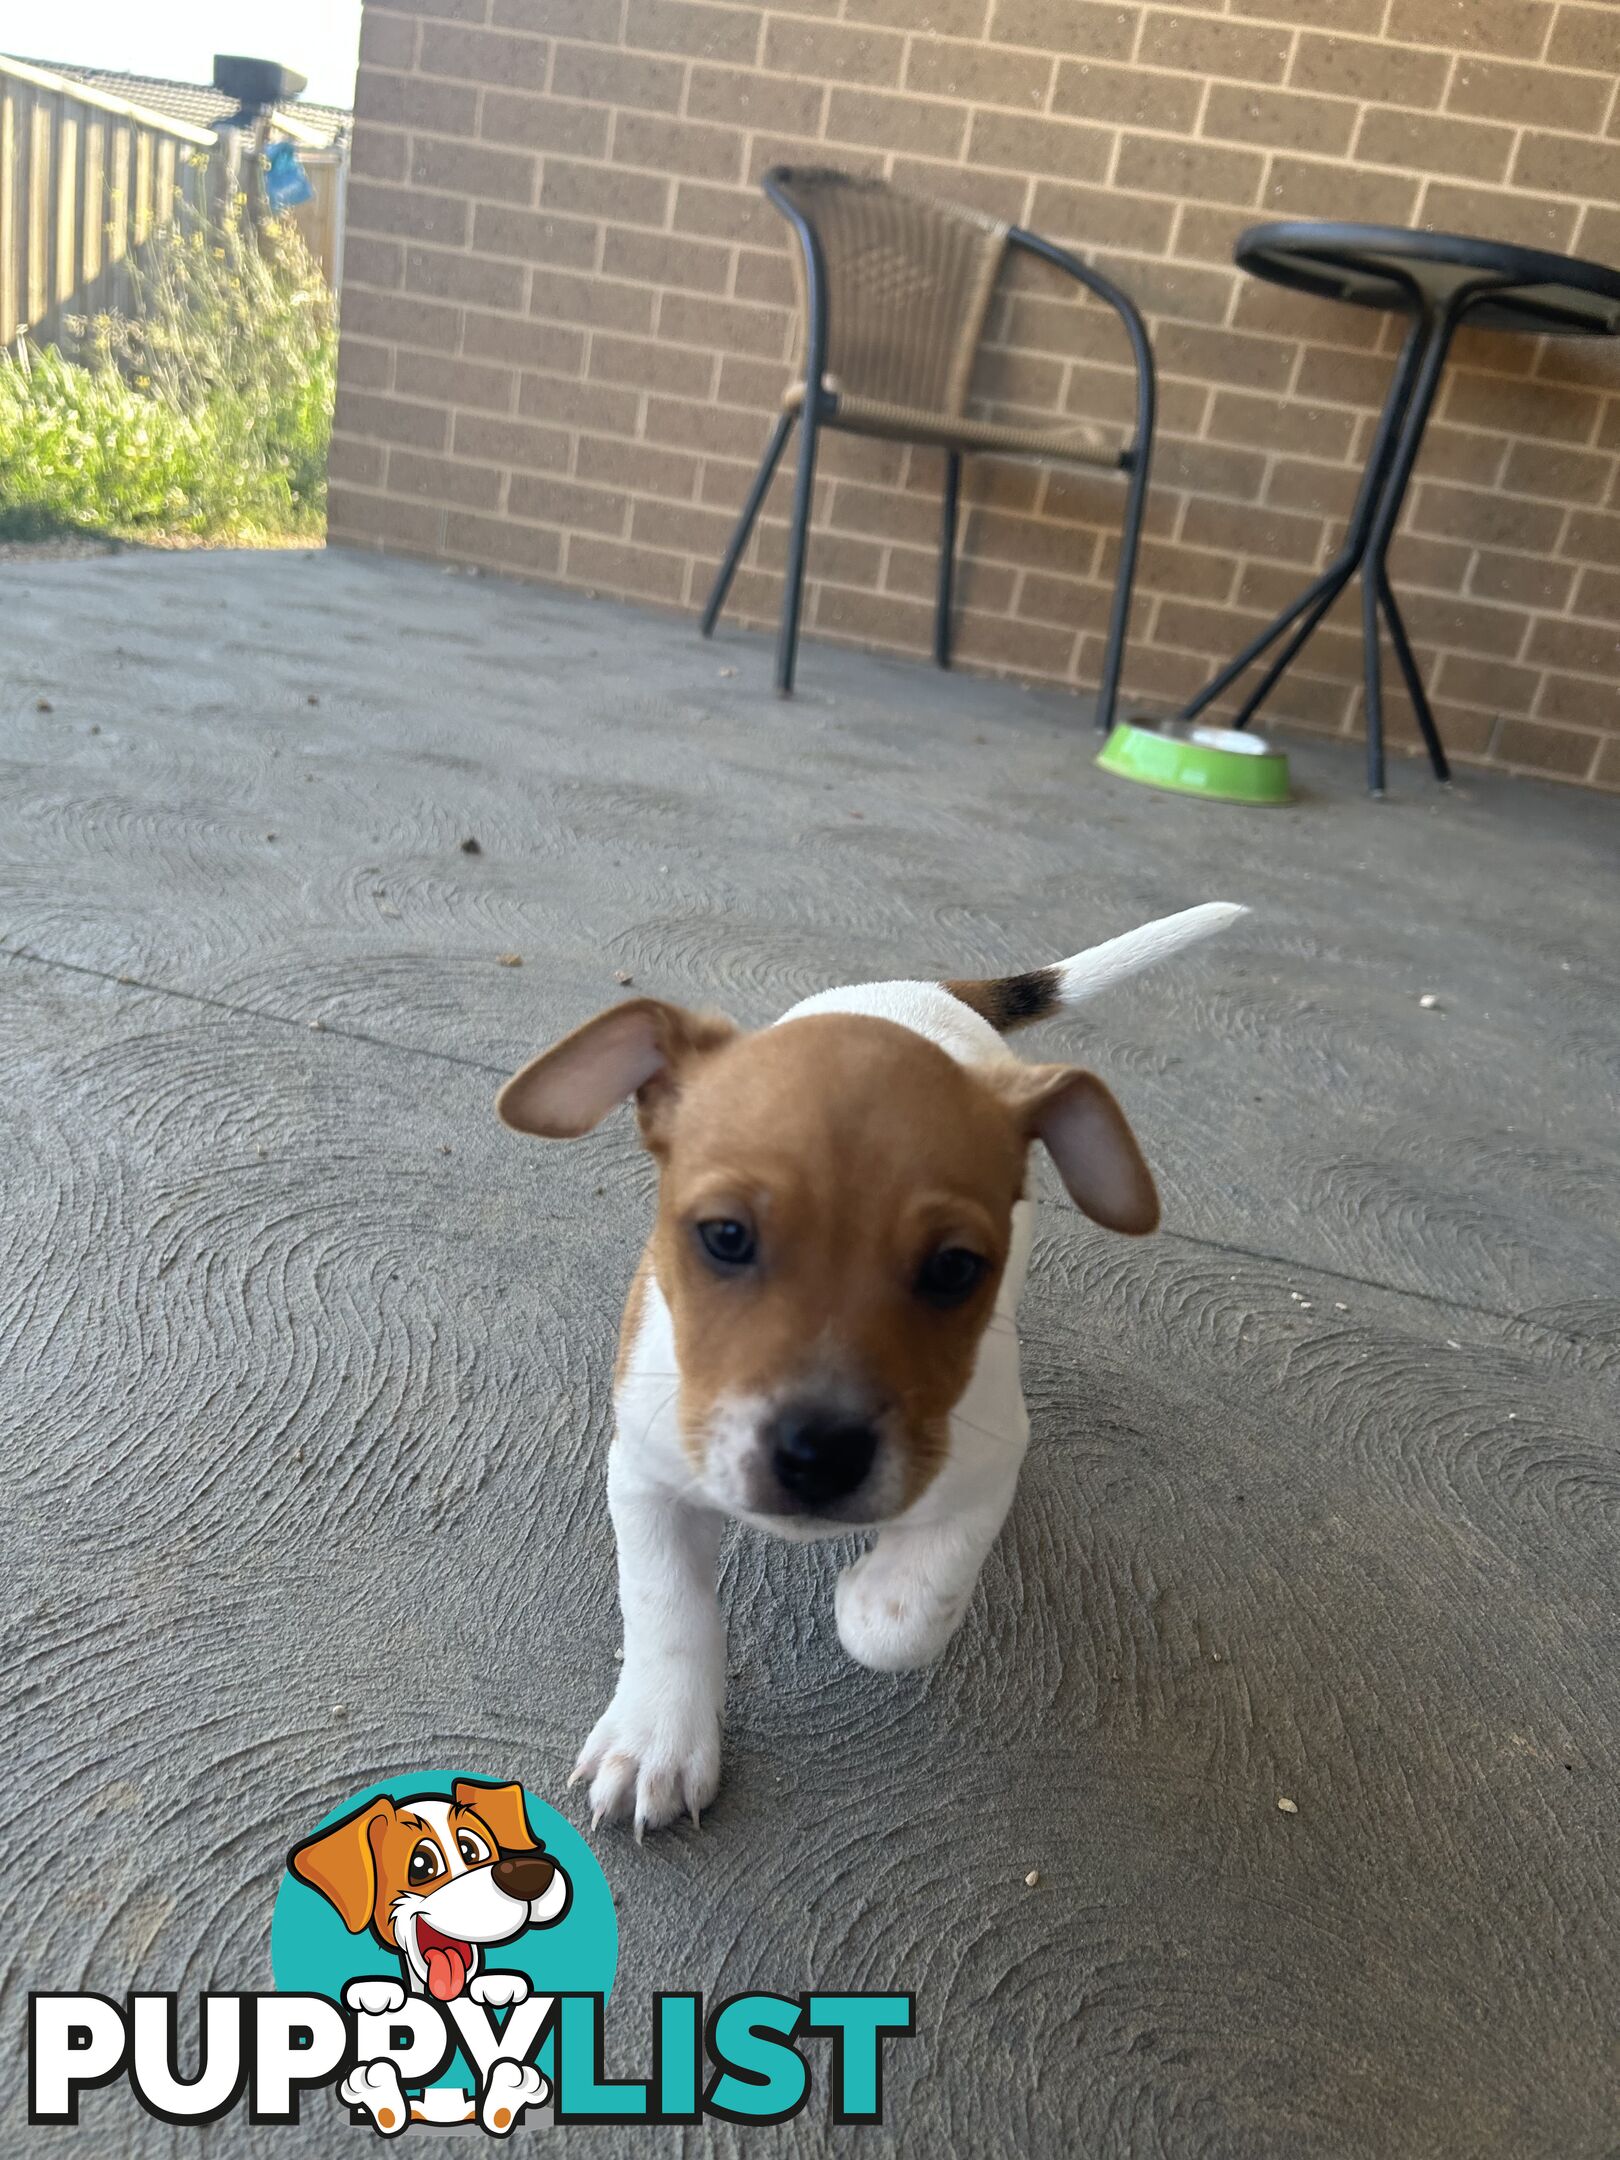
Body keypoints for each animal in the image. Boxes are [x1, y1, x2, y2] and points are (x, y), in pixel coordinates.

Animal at [501, 902, 1252, 1831]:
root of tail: (927, 990)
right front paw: (658, 1740)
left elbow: (906, 1617)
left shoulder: (986, 1467)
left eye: (956, 1268)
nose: (819, 1457)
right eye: (725, 1235)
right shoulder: (643, 1472)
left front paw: (864, 1594)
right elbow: (666, 1605)